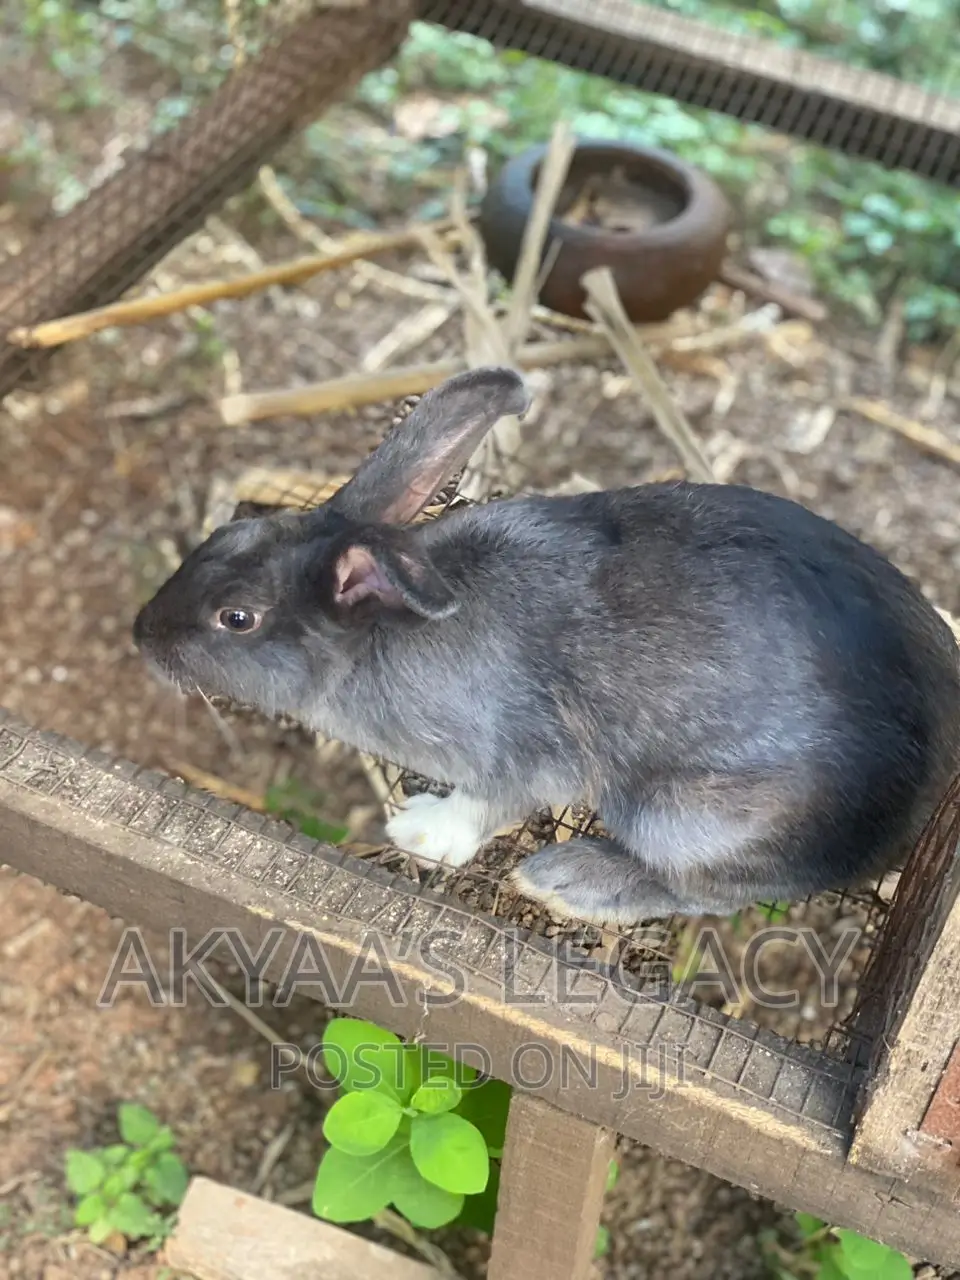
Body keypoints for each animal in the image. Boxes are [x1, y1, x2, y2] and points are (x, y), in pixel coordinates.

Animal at [133, 365, 960, 925]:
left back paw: (567, 879)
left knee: (706, 894)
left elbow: (488, 802)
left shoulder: (523, 754)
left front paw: (421, 833)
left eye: (237, 618)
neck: (376, 633)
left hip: (683, 816)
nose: (142, 634)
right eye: (224, 535)